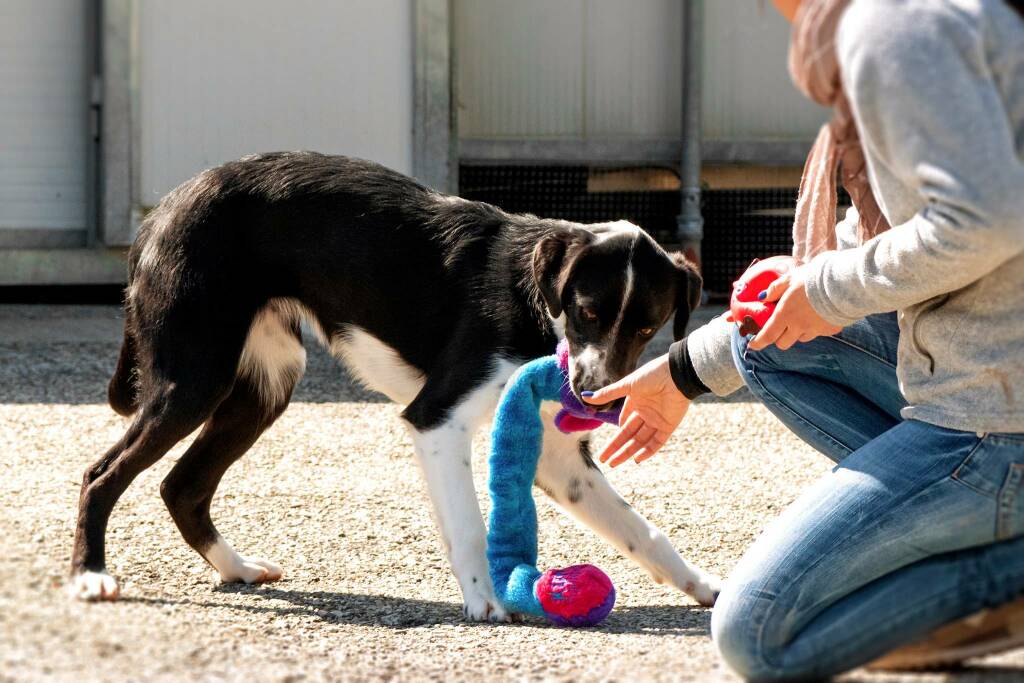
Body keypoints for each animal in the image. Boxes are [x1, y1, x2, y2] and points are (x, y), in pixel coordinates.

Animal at [68, 153, 720, 618]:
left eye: (646, 327)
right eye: (587, 312)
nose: (591, 396)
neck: (532, 298)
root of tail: (163, 209)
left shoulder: (561, 458)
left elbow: (642, 532)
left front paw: (703, 586)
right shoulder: (438, 418)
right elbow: (468, 524)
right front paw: (485, 600)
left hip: (265, 387)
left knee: (182, 485)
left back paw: (237, 568)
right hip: (194, 380)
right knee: (102, 474)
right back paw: (90, 576)